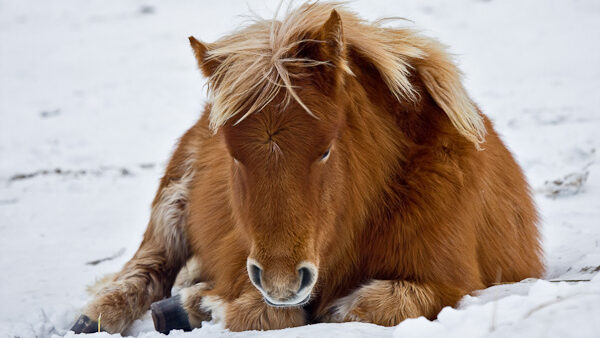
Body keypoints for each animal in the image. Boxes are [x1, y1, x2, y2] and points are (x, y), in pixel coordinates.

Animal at [71, 2, 544, 334]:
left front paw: (203, 304)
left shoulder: (451, 283)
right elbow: (271, 313)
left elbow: (367, 306)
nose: (280, 280)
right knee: (148, 265)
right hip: (174, 198)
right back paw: (100, 316)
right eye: (233, 154)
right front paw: (210, 304)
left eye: (326, 149)